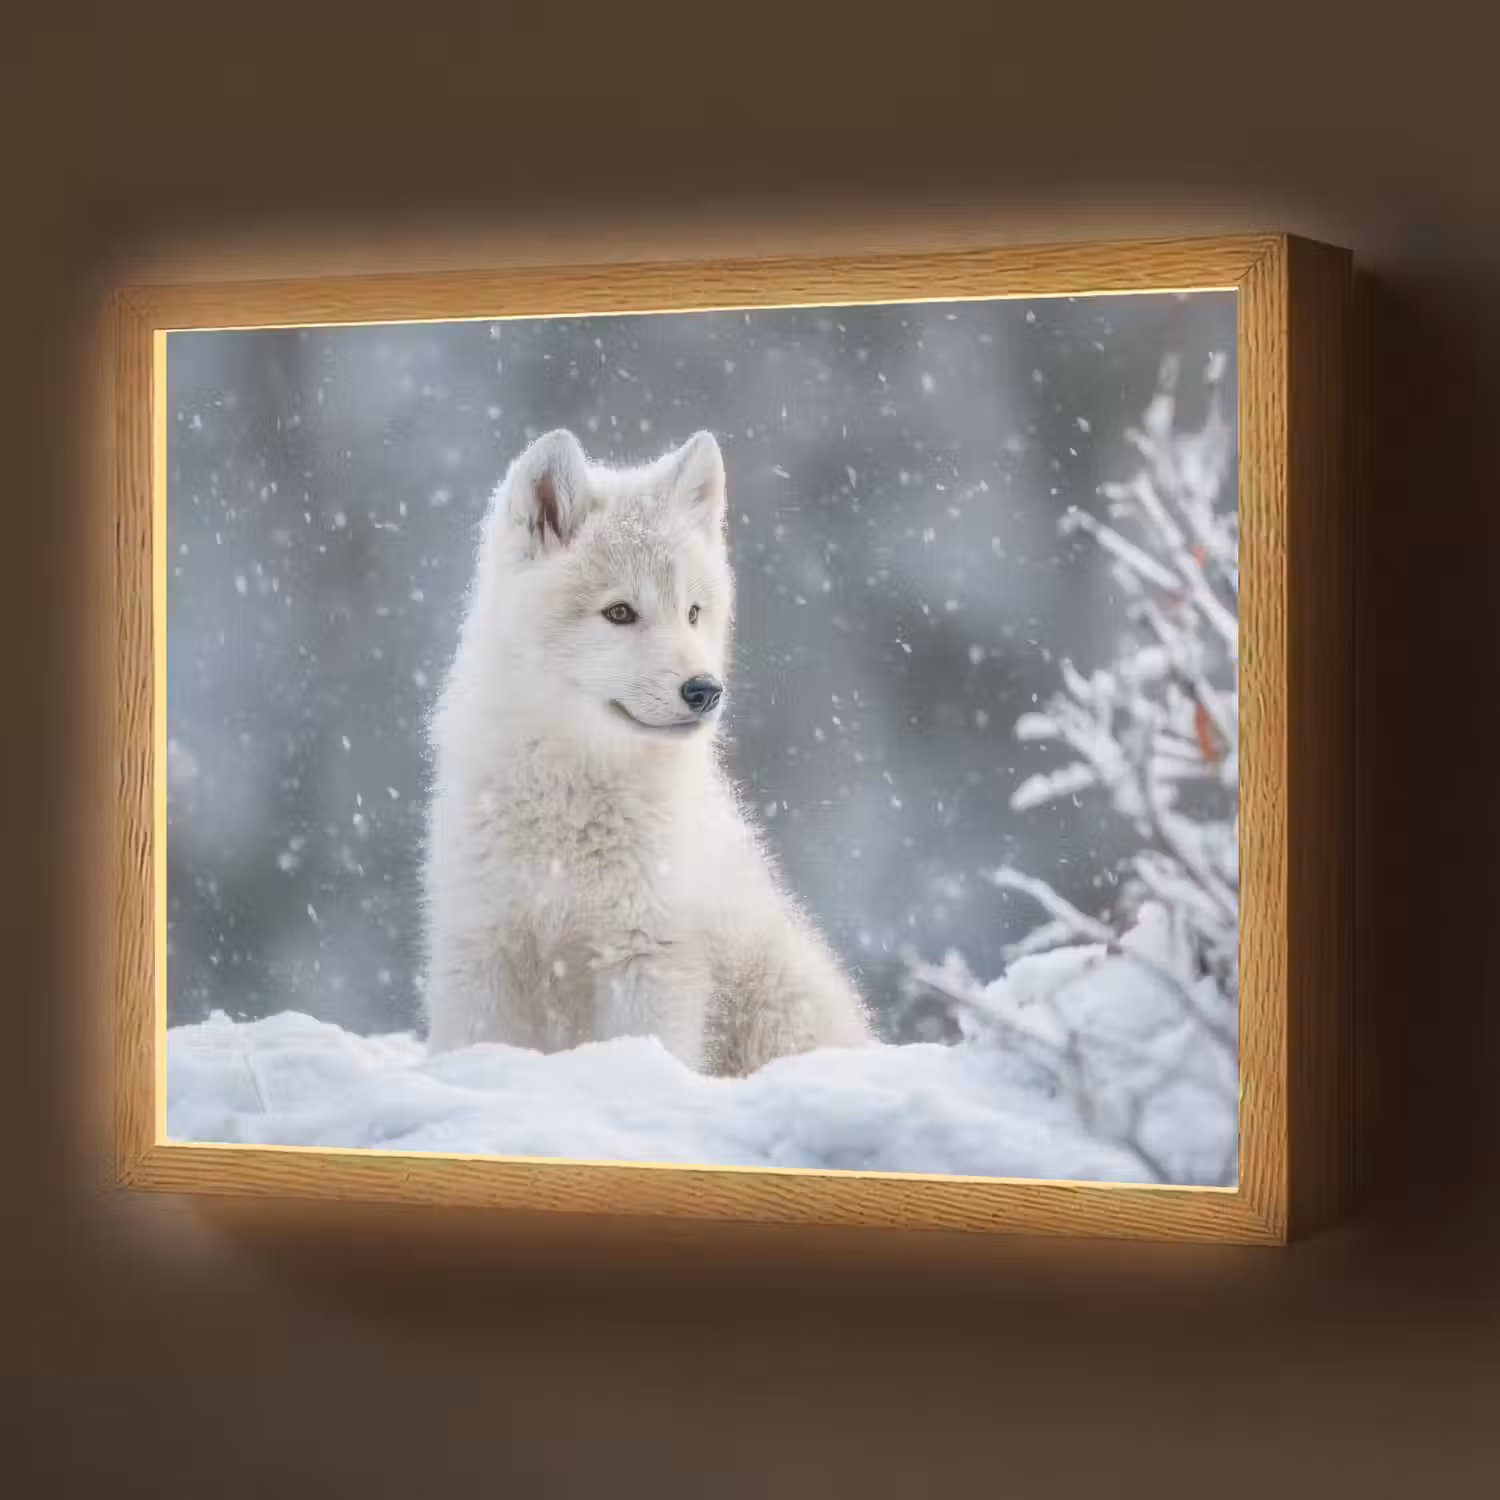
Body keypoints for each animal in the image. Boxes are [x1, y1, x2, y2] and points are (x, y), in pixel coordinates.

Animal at [419, 427, 873, 1075]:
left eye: (693, 612)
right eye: (620, 612)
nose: (705, 691)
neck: (571, 804)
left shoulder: (648, 958)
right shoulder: (482, 950)